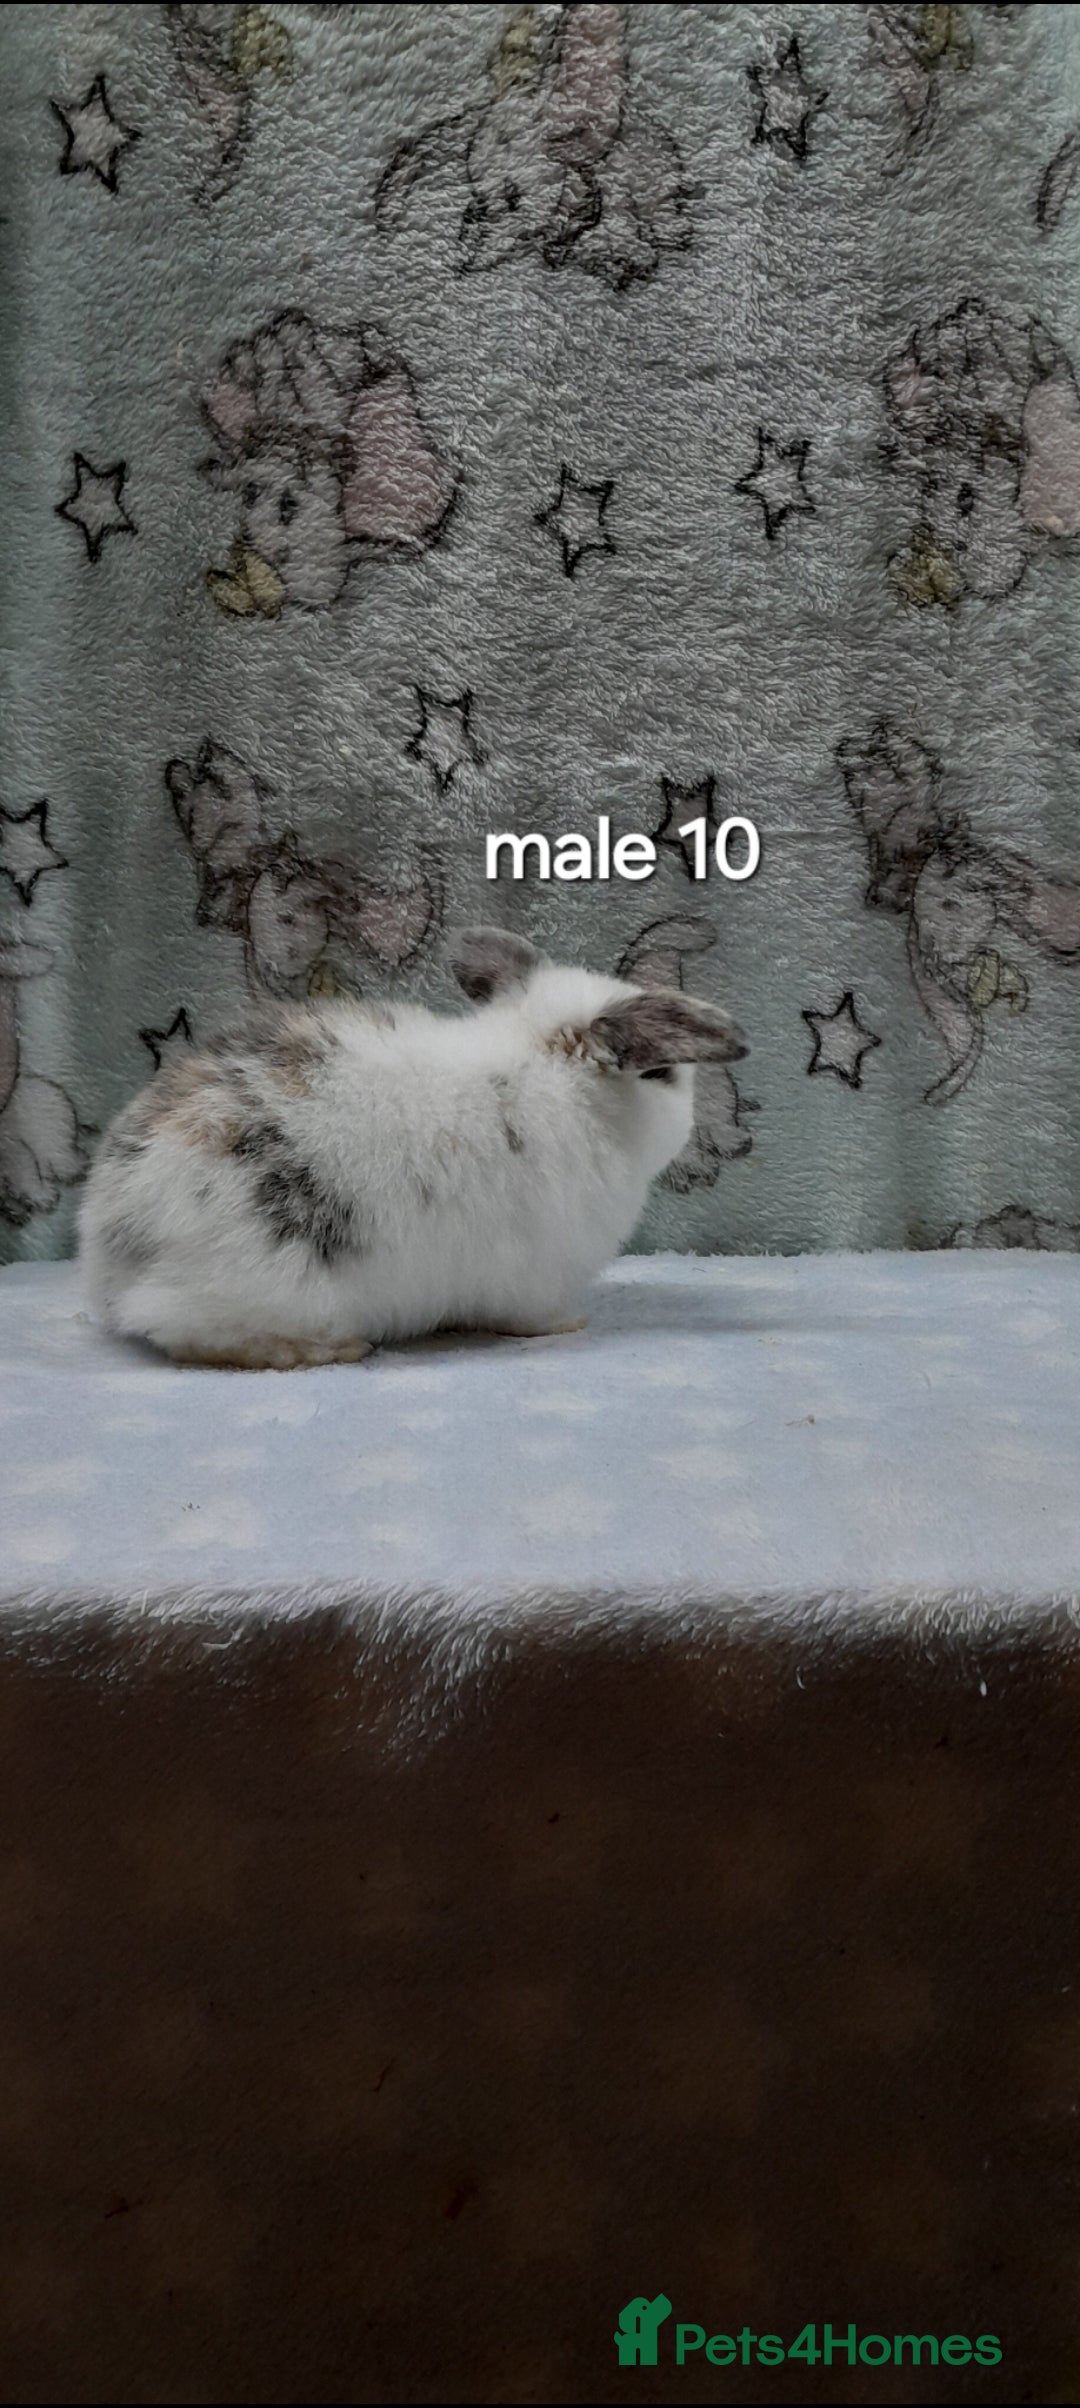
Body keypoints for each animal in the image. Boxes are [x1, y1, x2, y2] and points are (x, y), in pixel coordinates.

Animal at [78, 924, 747, 1368]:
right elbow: (533, 1318)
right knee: (193, 1335)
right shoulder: (536, 1278)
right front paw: (571, 1325)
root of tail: (117, 1234)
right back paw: (332, 1349)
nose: (692, 1120)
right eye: (659, 1073)